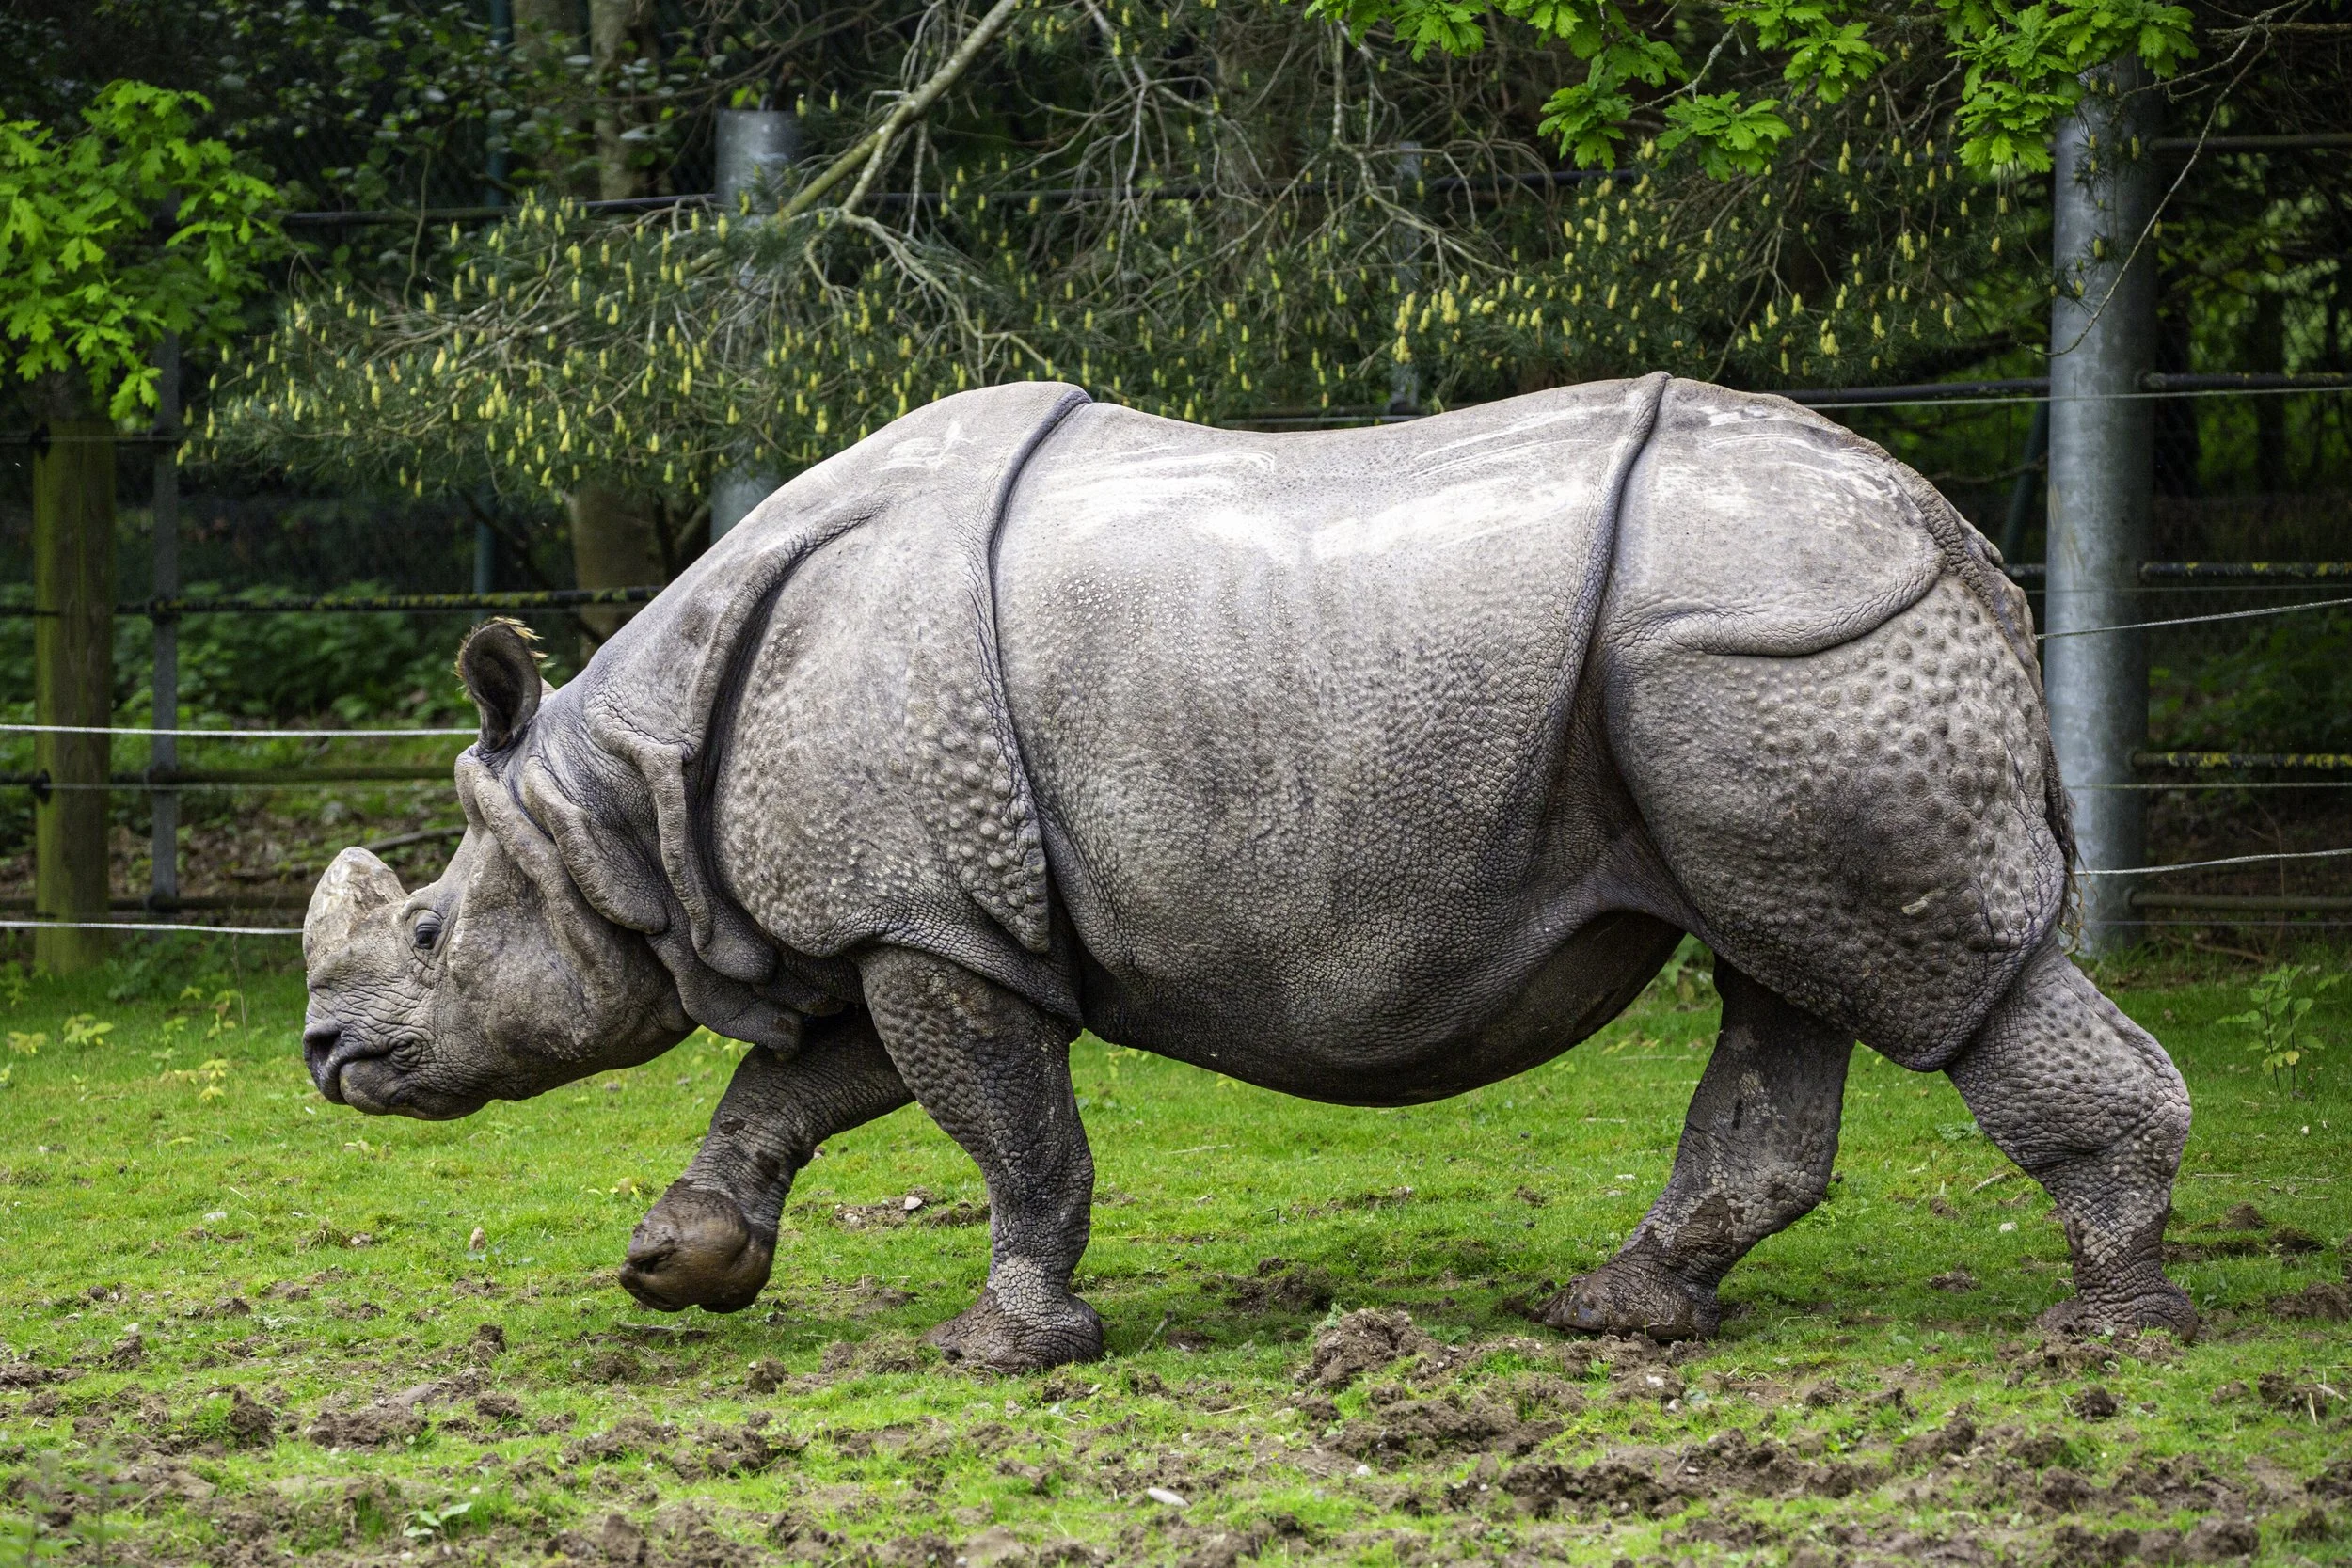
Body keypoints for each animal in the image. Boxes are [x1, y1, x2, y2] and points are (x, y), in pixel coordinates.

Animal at [301, 375, 2195, 1370]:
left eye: (428, 925)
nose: (325, 1059)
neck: (618, 787)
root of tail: (1954, 533)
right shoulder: (923, 905)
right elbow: (793, 1088)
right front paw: (676, 1267)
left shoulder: (931, 916)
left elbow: (1008, 1131)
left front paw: (1007, 1346)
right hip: (1746, 668)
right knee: (1781, 971)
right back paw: (1613, 1317)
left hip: (1791, 646)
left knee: (1921, 980)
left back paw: (2107, 1340)